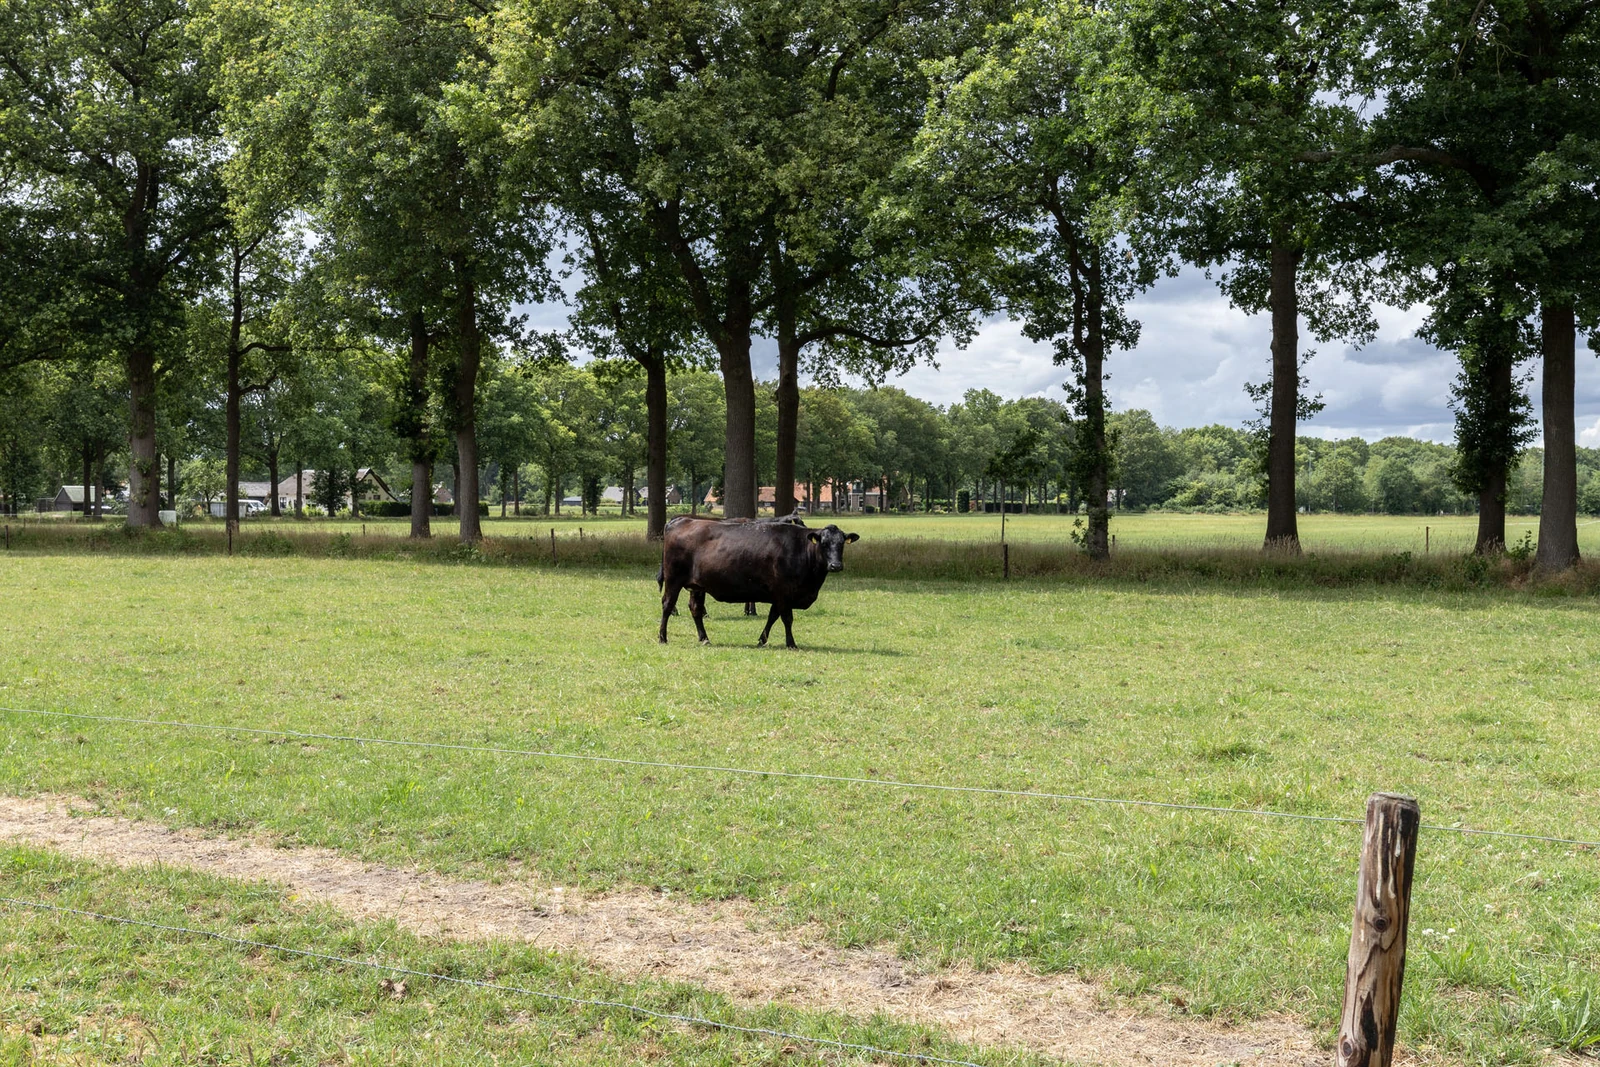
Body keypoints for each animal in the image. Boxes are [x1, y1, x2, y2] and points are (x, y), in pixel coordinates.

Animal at [658, 520, 858, 647]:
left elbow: (772, 617)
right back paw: (662, 637)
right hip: (673, 579)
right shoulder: (784, 592)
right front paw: (791, 643)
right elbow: (787, 619)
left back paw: (704, 638)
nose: (836, 565)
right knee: (667, 605)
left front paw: (762, 640)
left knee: (696, 609)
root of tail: (681, 520)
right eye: (824, 543)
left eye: (841, 544)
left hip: (698, 586)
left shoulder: (778, 595)